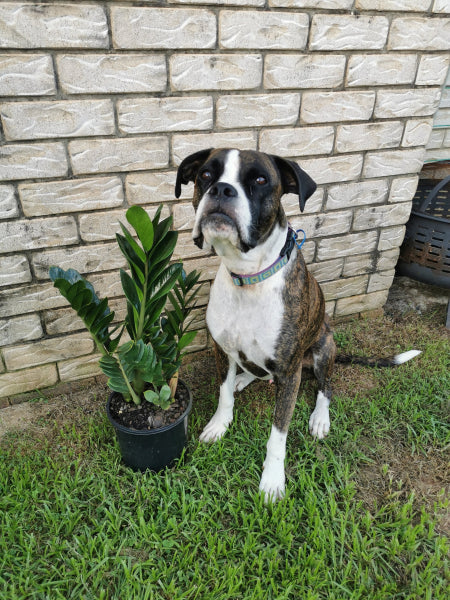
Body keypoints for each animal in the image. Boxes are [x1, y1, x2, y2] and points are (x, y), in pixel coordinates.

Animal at [175, 149, 418, 502]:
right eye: (205, 175)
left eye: (260, 179)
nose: (221, 189)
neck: (249, 277)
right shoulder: (223, 350)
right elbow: (223, 395)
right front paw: (219, 425)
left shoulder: (289, 373)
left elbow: (278, 434)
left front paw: (272, 480)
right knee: (257, 372)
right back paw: (244, 379)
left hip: (323, 348)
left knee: (325, 387)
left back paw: (319, 419)